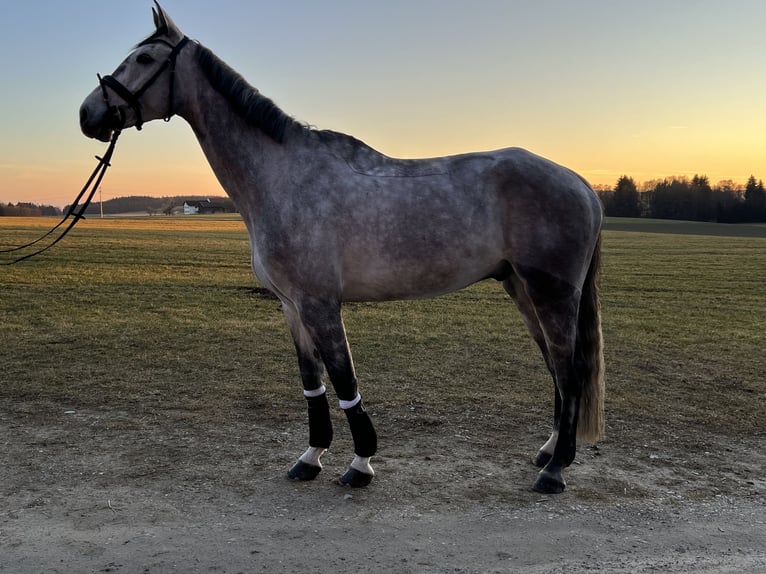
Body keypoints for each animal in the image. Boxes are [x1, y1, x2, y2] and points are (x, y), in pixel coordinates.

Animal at [79, 1, 608, 496]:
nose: (88, 115)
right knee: (558, 370)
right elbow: (312, 383)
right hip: (521, 289)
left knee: (570, 370)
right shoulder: (291, 306)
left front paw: (360, 463)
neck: (283, 178)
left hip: (551, 294)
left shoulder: (320, 304)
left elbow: (344, 379)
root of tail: (580, 182)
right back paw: (549, 452)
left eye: (145, 58)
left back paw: (555, 470)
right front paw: (311, 458)